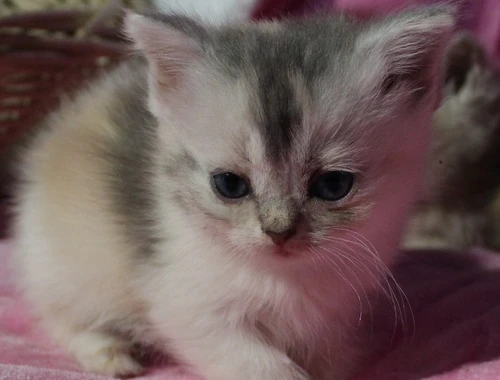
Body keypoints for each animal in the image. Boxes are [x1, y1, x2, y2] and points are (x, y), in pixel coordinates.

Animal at [11, 6, 456, 380]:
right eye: (229, 184)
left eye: (333, 185)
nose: (278, 231)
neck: (285, 277)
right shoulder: (184, 301)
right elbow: (257, 363)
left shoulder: (336, 315)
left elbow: (330, 358)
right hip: (60, 265)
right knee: (59, 315)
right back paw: (107, 351)